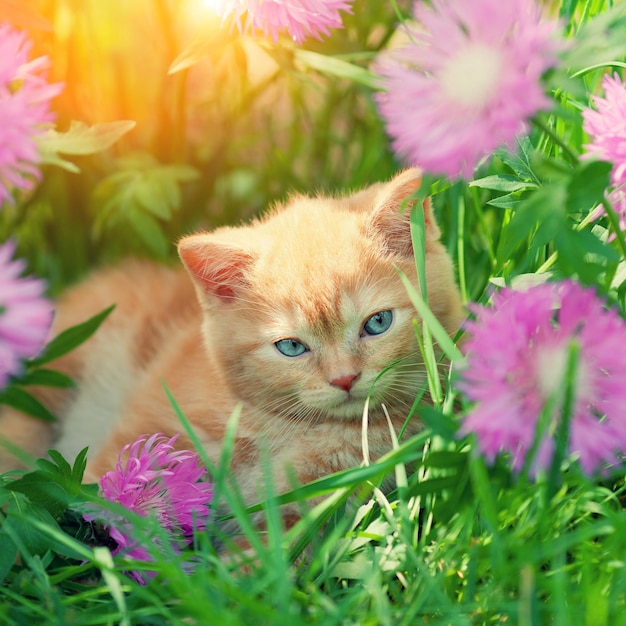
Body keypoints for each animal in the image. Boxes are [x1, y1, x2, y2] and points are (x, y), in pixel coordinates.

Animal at [0, 169, 458, 516]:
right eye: (291, 347)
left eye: (377, 323)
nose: (345, 379)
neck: (290, 427)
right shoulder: (149, 423)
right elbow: (106, 490)